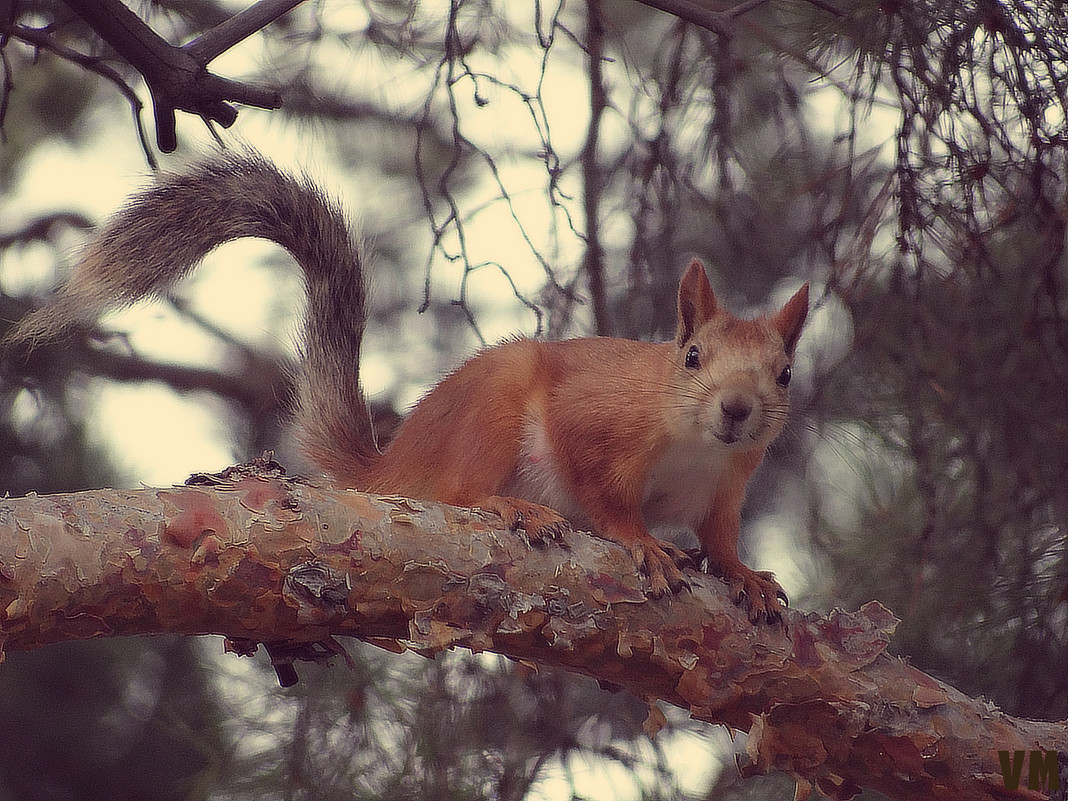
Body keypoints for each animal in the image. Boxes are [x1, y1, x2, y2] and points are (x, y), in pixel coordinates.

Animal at [6, 153, 807, 623]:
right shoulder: (599, 428)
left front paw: (742, 574)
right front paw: (642, 542)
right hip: (492, 414)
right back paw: (512, 507)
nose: (737, 410)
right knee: (457, 492)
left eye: (784, 373)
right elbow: (604, 495)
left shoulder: (728, 484)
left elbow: (720, 537)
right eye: (692, 356)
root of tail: (393, 465)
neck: (695, 447)